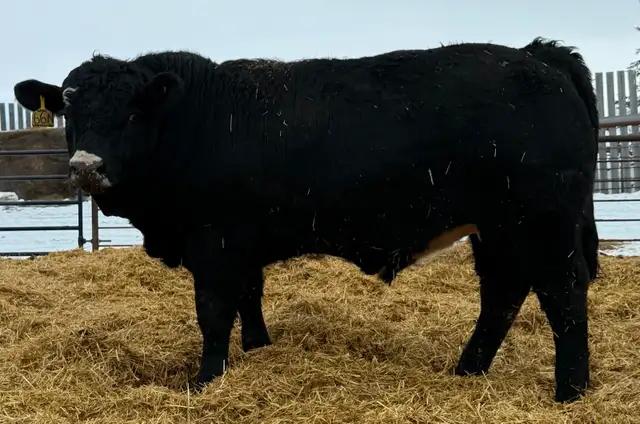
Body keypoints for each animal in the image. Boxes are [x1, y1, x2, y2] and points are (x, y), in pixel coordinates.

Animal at [13, 36, 599, 403]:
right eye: (70, 109)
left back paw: (569, 392)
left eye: (133, 110)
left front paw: (205, 380)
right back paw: (467, 371)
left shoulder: (214, 243)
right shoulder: (243, 243)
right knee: (503, 293)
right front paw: (257, 351)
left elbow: (214, 313)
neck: (197, 120)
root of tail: (536, 56)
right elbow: (250, 298)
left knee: (562, 295)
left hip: (540, 223)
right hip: (496, 229)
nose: (85, 167)